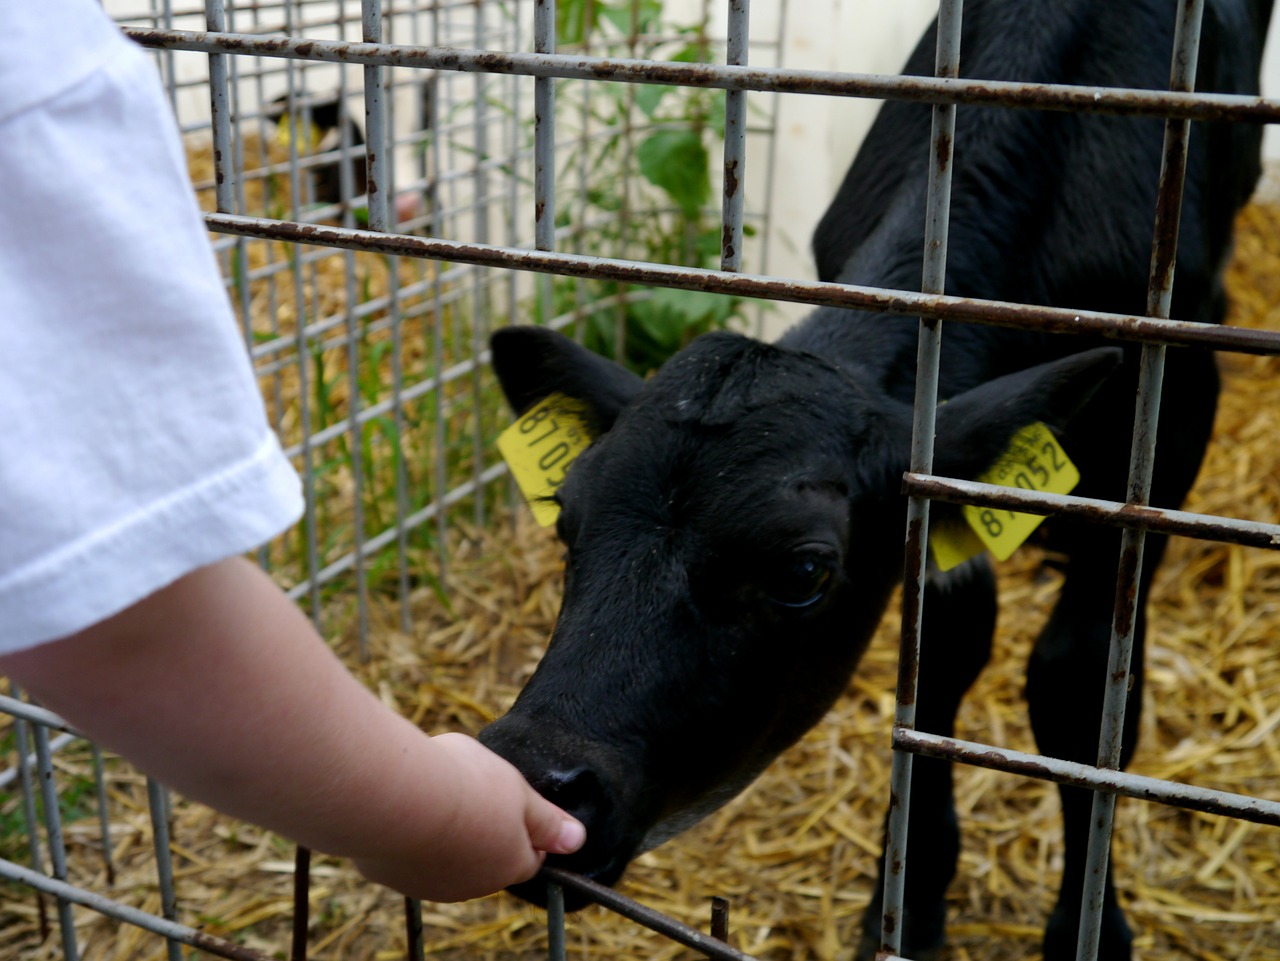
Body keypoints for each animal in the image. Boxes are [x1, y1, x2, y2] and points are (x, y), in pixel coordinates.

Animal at [478, 3, 1269, 957]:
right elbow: (942, 657)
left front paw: (1091, 926)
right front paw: (912, 897)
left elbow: (1079, 680)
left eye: (802, 571)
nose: (530, 777)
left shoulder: (1178, 415)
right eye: (566, 522)